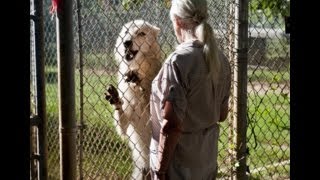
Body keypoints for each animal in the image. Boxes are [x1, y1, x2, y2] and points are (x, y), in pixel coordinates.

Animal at [105, 20, 161, 180]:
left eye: (141, 33)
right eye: (126, 32)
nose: (127, 42)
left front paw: (138, 80)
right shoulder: (125, 126)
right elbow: (120, 117)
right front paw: (115, 98)